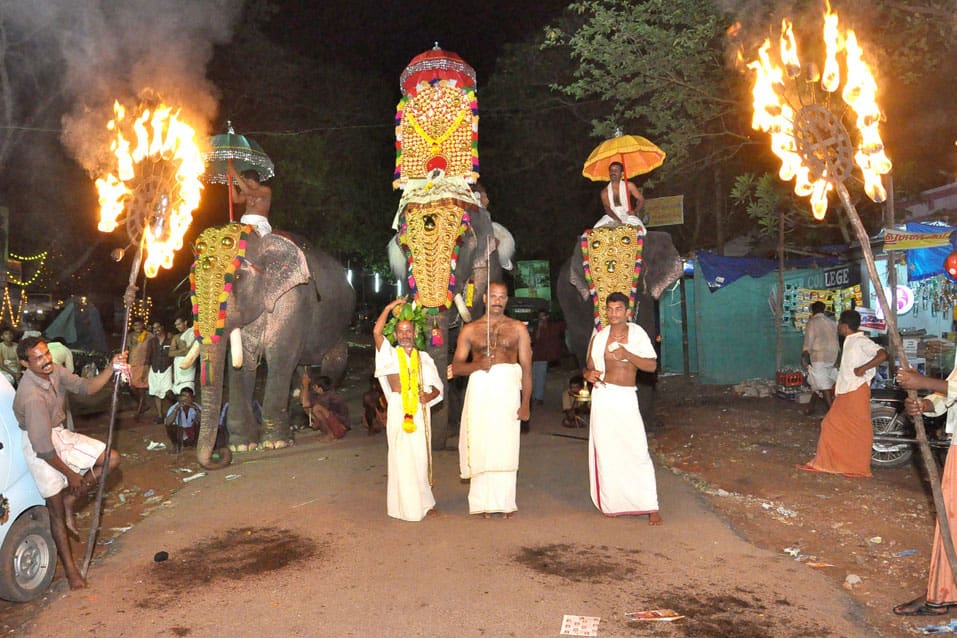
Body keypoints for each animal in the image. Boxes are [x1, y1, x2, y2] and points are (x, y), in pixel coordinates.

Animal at [184, 225, 354, 470]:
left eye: (237, 276)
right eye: (192, 281)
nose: (221, 453)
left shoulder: (292, 302)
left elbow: (280, 359)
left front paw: (275, 443)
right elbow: (242, 364)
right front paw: (242, 446)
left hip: (339, 327)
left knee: (333, 363)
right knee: (300, 371)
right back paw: (297, 425)